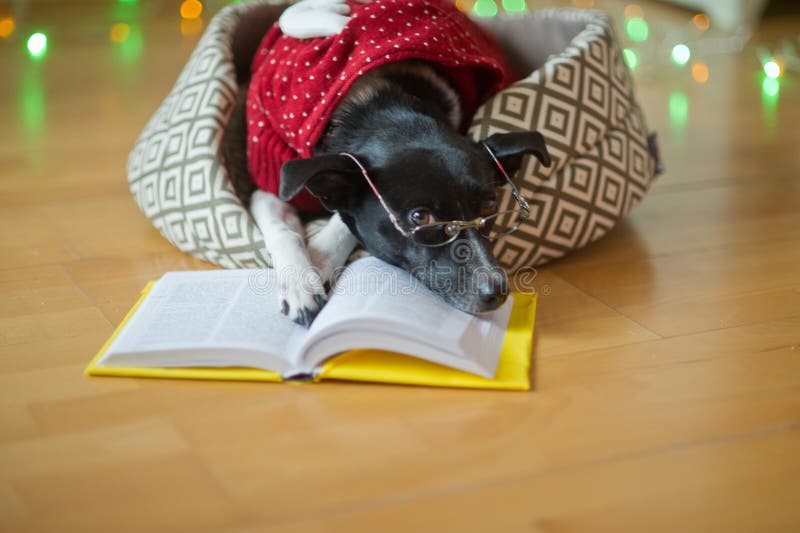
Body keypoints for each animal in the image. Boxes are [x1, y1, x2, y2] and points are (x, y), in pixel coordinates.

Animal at [222, 0, 552, 324]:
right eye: (420, 218)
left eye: (489, 205)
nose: (497, 292)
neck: (374, 107)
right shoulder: (271, 186)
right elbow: (284, 231)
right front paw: (301, 283)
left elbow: (344, 220)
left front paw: (322, 257)